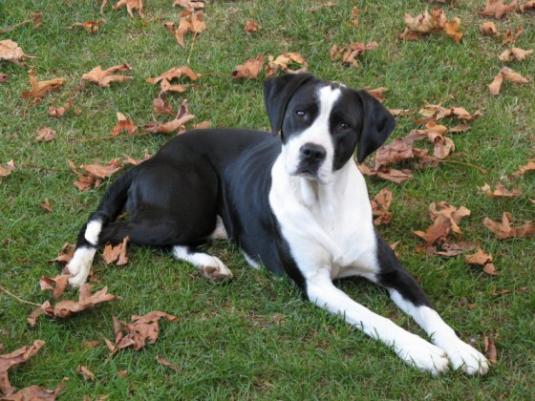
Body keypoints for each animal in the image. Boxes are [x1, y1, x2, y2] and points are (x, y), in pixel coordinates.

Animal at [66, 72, 490, 376]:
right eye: (301, 113)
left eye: (344, 125)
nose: (312, 152)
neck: (324, 205)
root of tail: (150, 159)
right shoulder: (317, 286)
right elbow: (375, 318)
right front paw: (422, 352)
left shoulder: (391, 271)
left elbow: (430, 312)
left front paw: (462, 350)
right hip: (183, 210)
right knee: (104, 227)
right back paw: (77, 269)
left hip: (203, 221)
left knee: (172, 242)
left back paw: (211, 266)